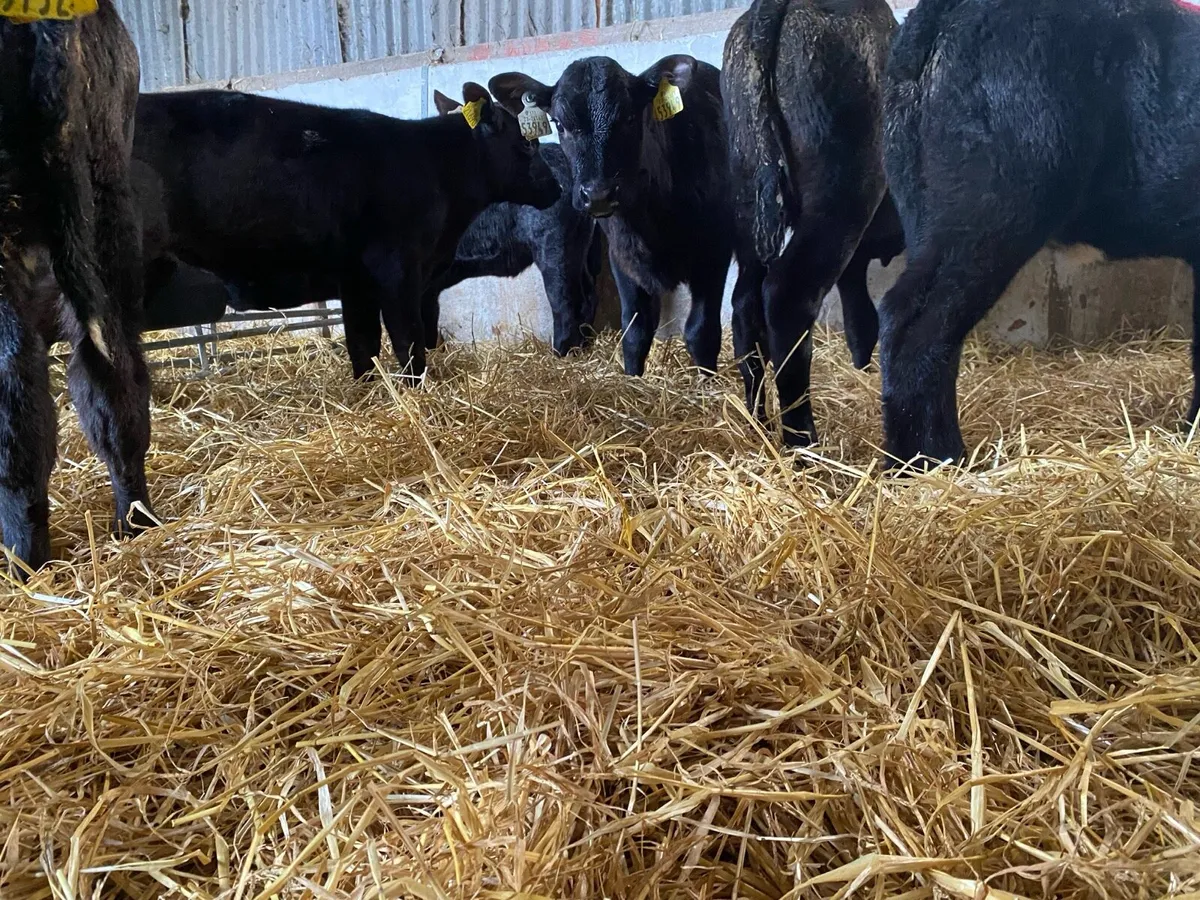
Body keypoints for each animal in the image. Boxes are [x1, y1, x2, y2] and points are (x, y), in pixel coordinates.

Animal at [131, 84, 561, 382]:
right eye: (526, 144)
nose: (556, 188)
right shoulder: (398, 272)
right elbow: (408, 341)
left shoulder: (355, 282)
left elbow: (363, 345)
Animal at [489, 55, 734, 380]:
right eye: (560, 124)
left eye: (629, 117)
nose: (597, 194)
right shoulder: (622, 256)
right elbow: (635, 331)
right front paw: (633, 380)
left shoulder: (714, 253)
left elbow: (701, 332)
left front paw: (707, 384)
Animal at [723, 0, 904, 446]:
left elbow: (860, 313)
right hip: (840, 198)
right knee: (787, 296)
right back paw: (802, 439)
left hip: (749, 203)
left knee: (745, 306)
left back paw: (758, 423)